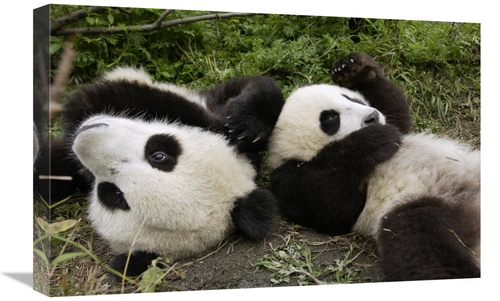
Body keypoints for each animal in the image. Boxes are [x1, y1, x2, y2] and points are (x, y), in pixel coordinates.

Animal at [268, 52, 478, 280]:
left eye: (350, 98)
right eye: (331, 117)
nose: (372, 117)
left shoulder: (398, 124)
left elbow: (397, 112)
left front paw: (352, 69)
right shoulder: (289, 179)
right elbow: (332, 208)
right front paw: (374, 139)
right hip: (421, 206)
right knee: (422, 245)